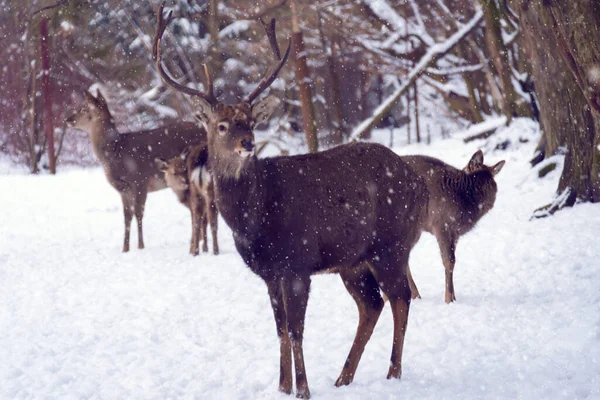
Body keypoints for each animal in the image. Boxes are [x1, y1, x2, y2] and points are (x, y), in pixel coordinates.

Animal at [65, 91, 206, 253]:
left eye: (84, 108)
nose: (67, 119)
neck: (116, 152)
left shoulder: (140, 180)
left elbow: (138, 213)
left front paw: (140, 246)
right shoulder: (123, 189)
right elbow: (127, 216)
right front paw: (125, 248)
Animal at [152, 4, 428, 398]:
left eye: (250, 121)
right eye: (221, 125)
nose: (247, 143)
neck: (256, 219)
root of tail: (418, 183)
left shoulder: (297, 263)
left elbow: (297, 331)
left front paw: (303, 389)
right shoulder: (270, 273)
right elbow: (281, 330)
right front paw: (282, 386)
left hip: (391, 244)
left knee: (400, 298)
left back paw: (392, 374)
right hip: (352, 260)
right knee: (372, 304)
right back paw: (344, 377)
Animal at [404, 150, 506, 304]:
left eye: (490, 184)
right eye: (476, 181)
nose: (486, 204)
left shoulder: (455, 234)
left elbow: (452, 262)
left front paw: (453, 297)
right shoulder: (441, 226)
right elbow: (449, 261)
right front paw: (448, 299)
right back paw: (412, 294)